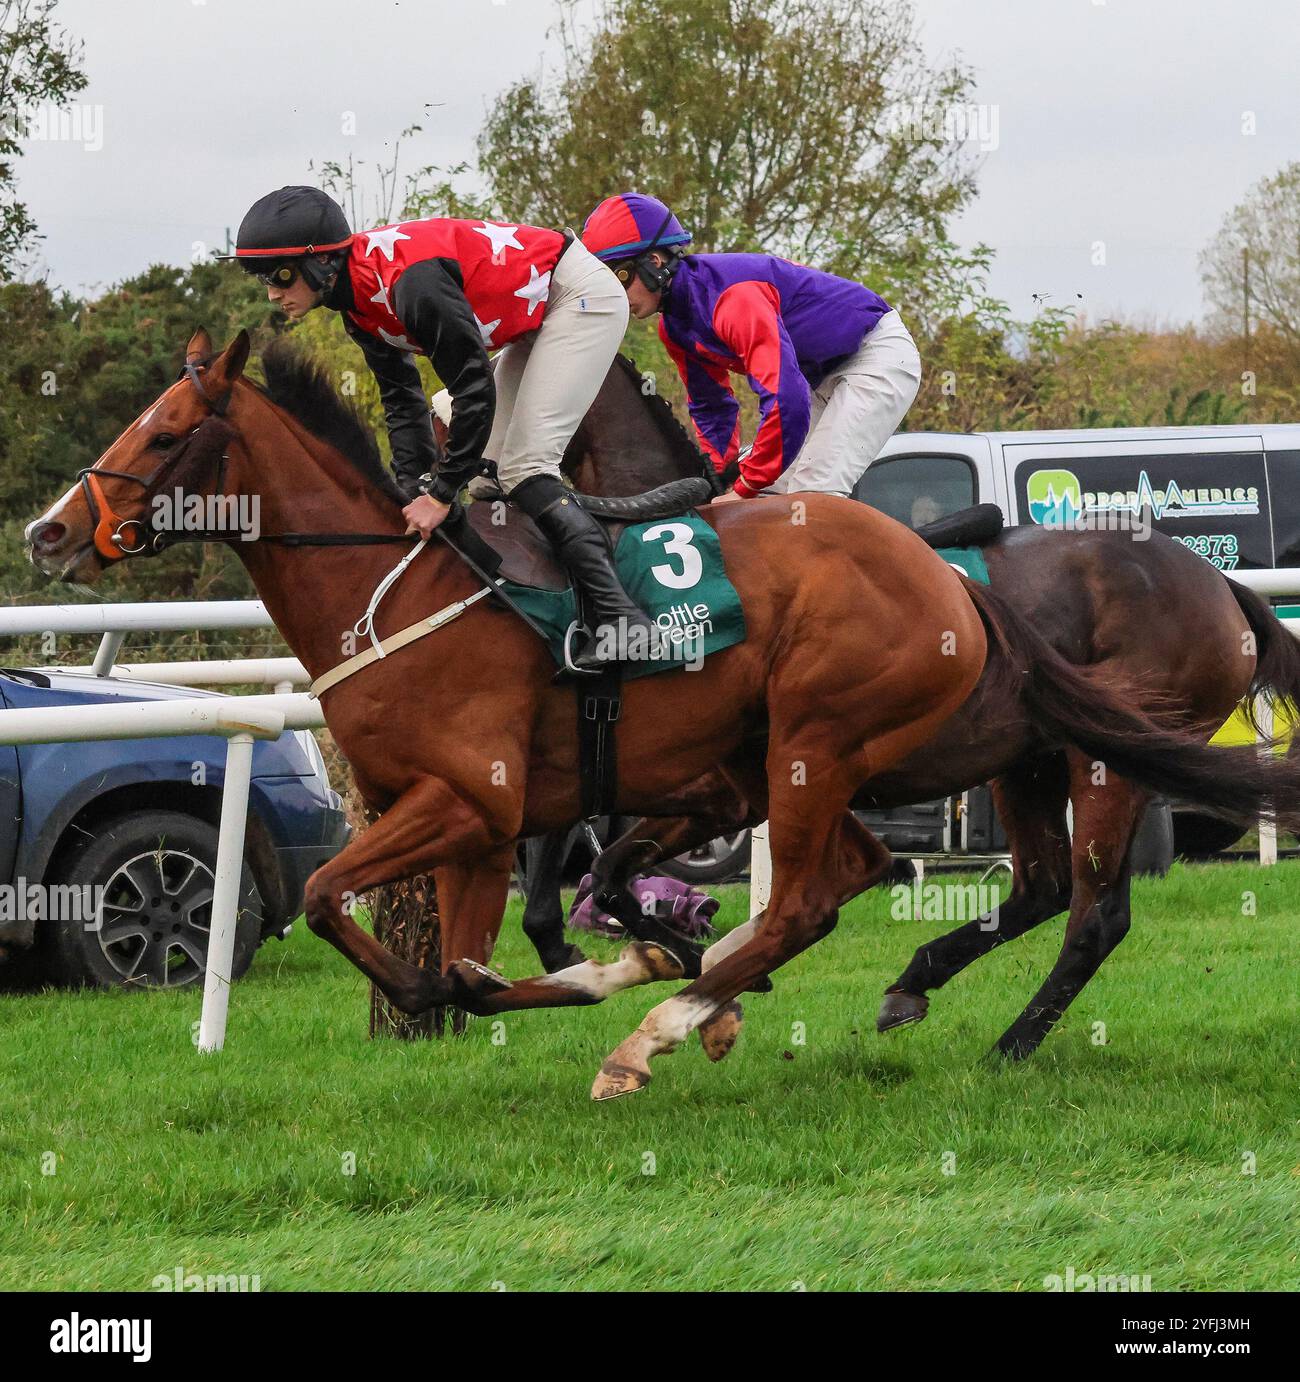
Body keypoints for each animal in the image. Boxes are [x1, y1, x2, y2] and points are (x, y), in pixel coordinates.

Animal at [22, 328, 1300, 1094]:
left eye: (166, 430)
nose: (50, 529)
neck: (409, 588)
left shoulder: (478, 796)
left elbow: (350, 902)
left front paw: (552, 982)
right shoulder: (509, 816)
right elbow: (522, 921)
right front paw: (633, 963)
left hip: (926, 749)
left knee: (1051, 909)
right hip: (1000, 760)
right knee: (994, 885)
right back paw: (860, 986)